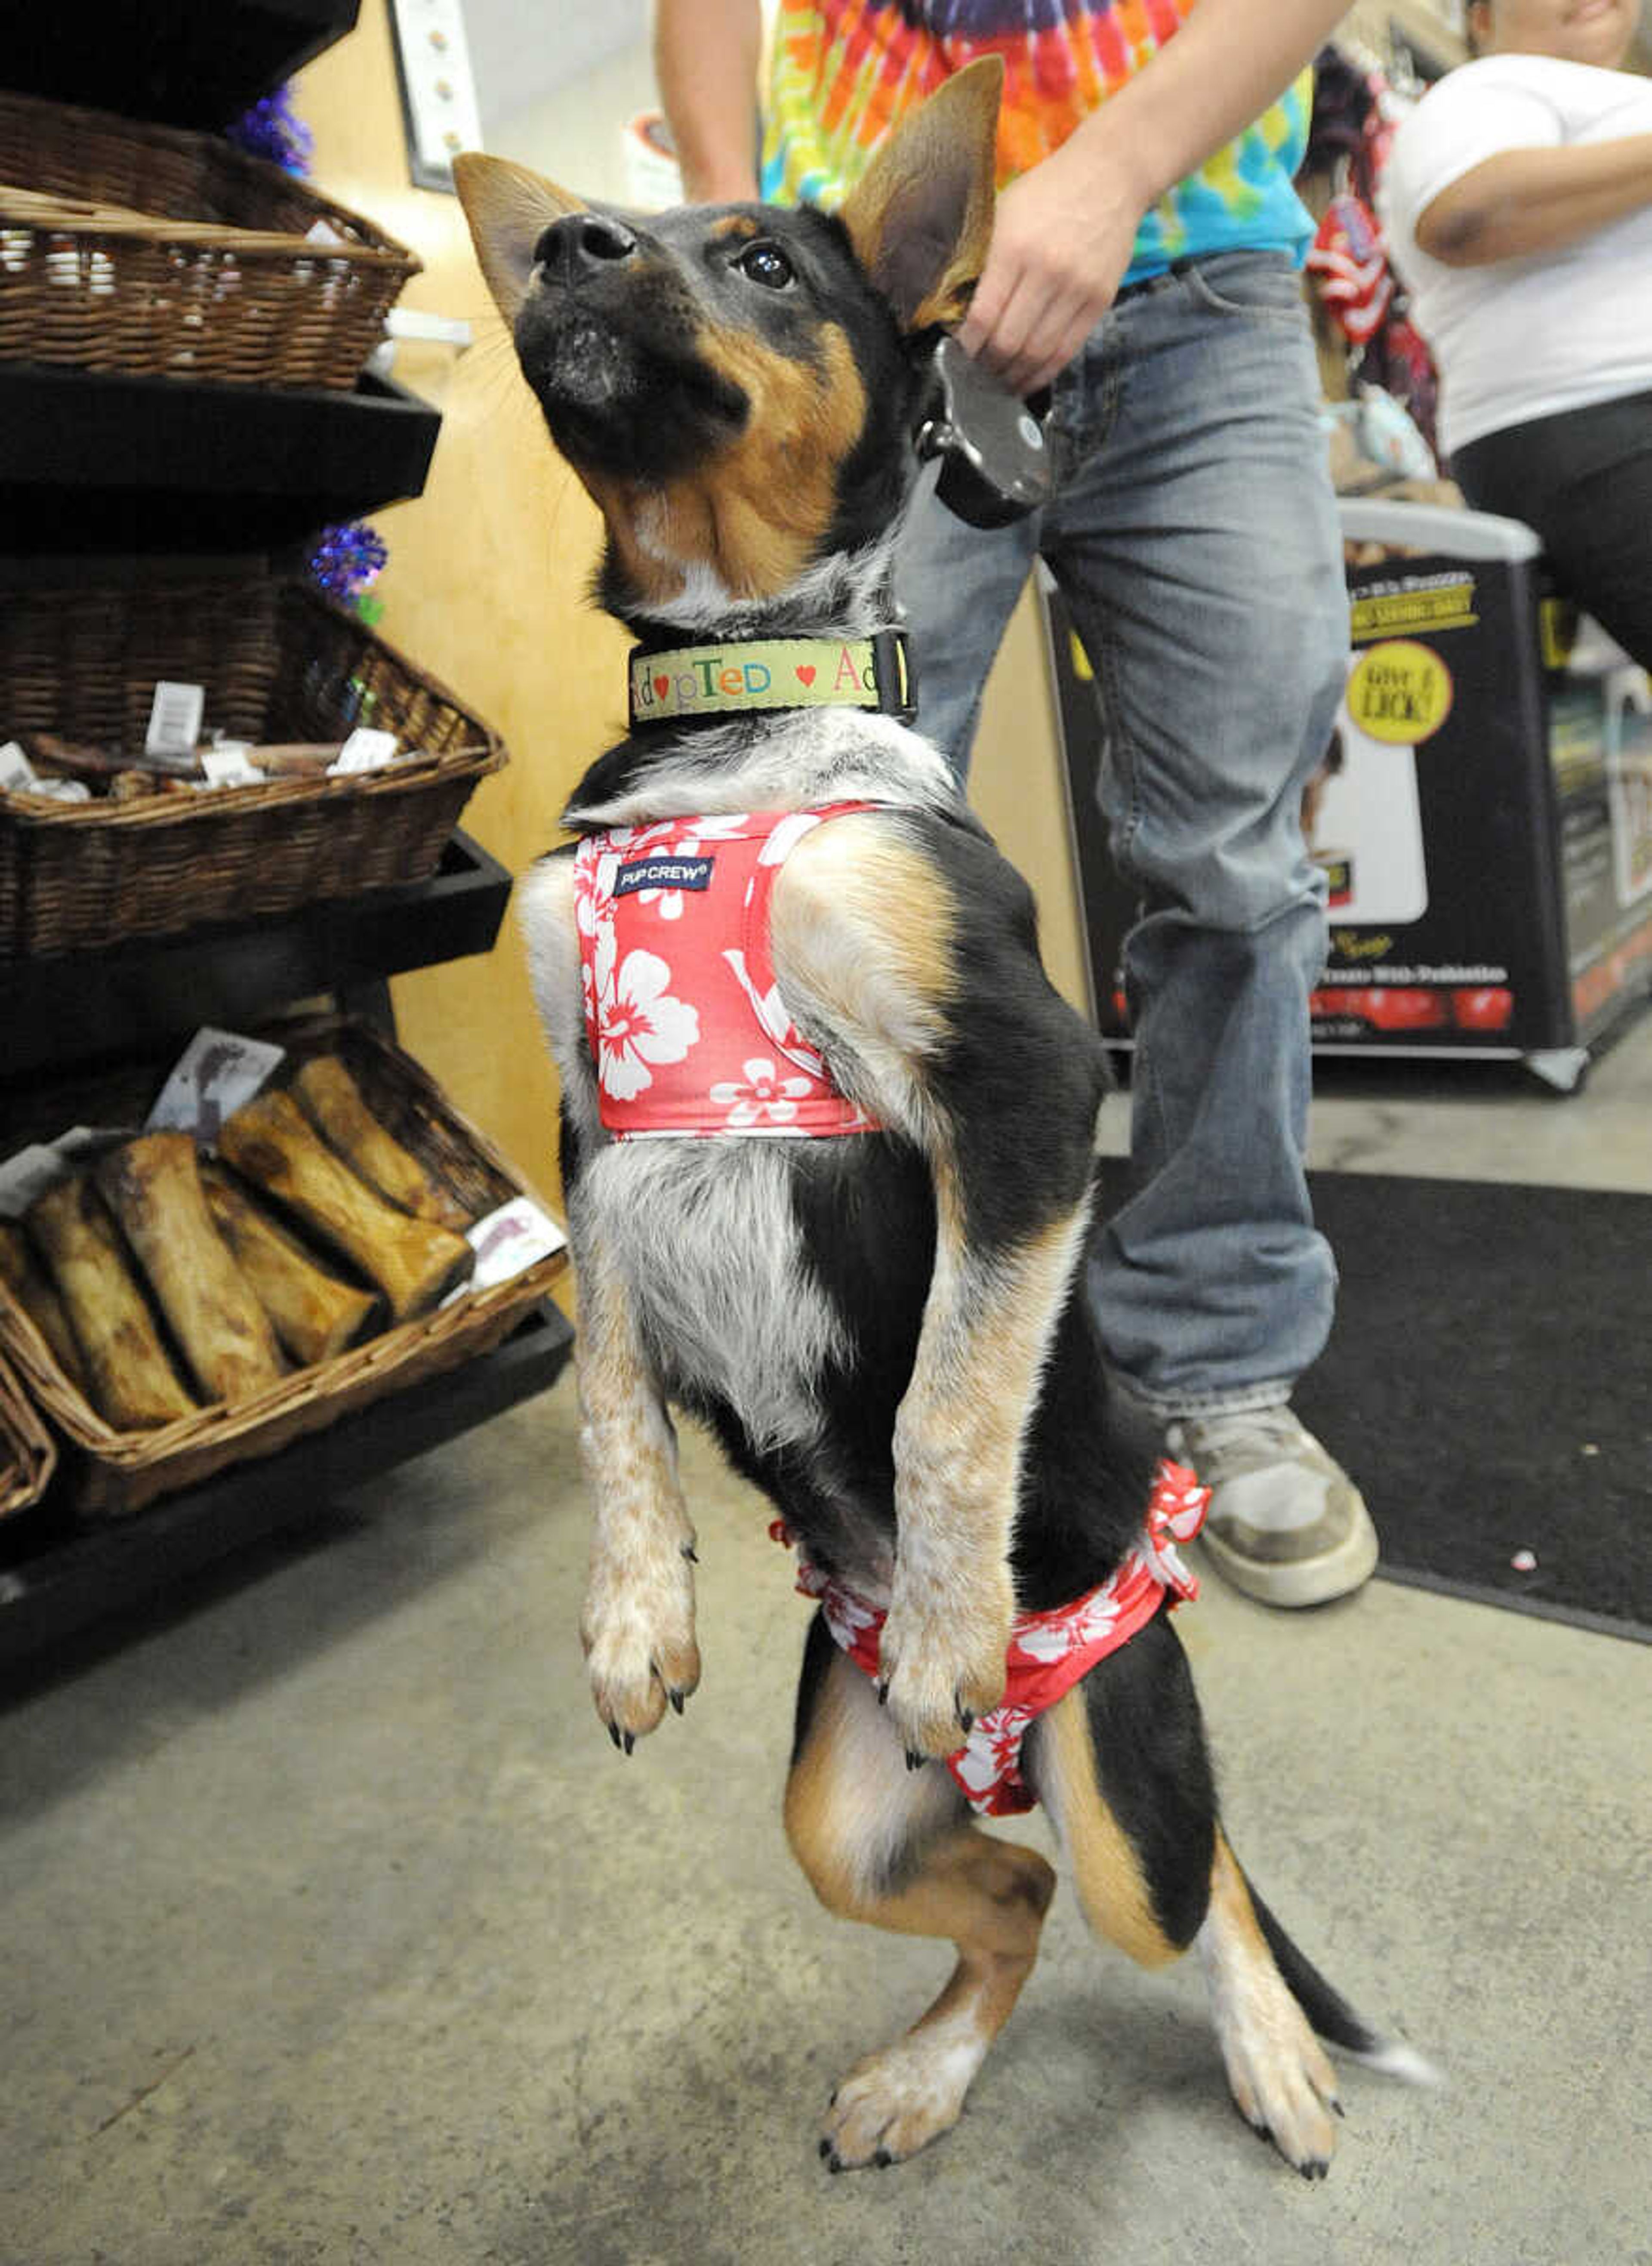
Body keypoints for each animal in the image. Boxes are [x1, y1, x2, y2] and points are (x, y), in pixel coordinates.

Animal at [451, 53, 1432, 2175]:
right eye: (587, 234)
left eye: (761, 260)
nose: (568, 244)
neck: (728, 722)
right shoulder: (588, 1135)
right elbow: (604, 1398)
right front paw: (631, 1617)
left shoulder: (1028, 1093)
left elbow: (951, 1390)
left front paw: (954, 1605)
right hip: (839, 1814)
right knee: (1015, 1897)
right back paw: (916, 2074)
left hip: (1121, 1756)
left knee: (1190, 1885)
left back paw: (1266, 2050)